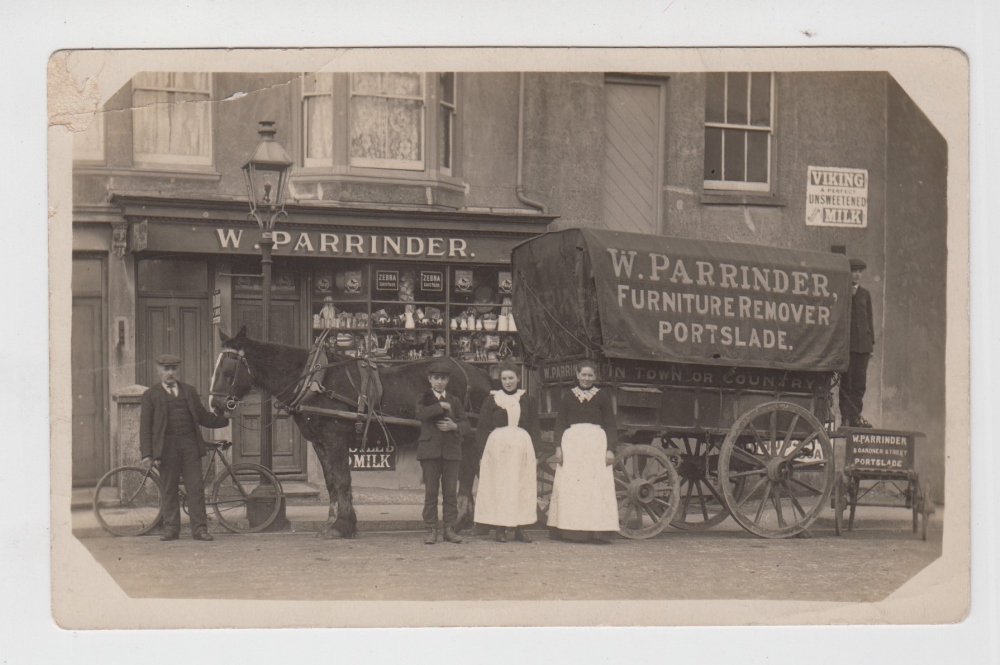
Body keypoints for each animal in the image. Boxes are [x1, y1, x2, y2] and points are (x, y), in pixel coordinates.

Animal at [211, 326, 492, 540]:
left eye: (227, 370)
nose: (215, 405)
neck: (313, 381)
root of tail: (480, 373)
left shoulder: (335, 440)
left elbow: (343, 480)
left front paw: (342, 525)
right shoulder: (320, 443)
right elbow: (331, 483)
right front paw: (333, 522)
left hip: (466, 436)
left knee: (467, 474)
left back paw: (461, 522)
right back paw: (469, 522)